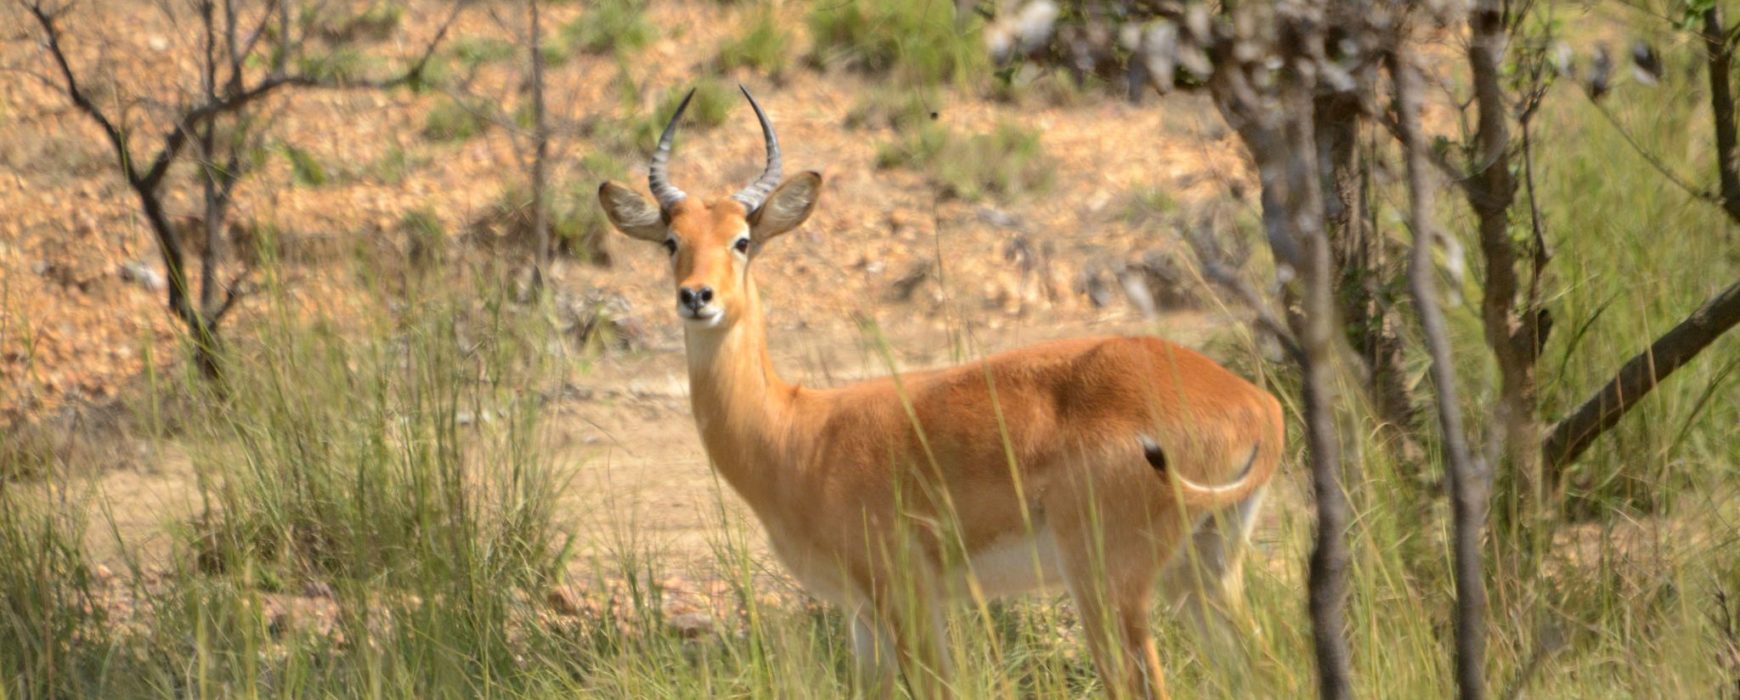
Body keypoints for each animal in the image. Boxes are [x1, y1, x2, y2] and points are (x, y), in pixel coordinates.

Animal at [598, 87, 1294, 700]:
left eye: (742, 240)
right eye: (672, 240)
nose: (697, 297)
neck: (798, 433)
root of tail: (1258, 407)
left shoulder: (908, 600)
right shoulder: (863, 618)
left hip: (1110, 584)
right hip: (1202, 576)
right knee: (1264, 669)